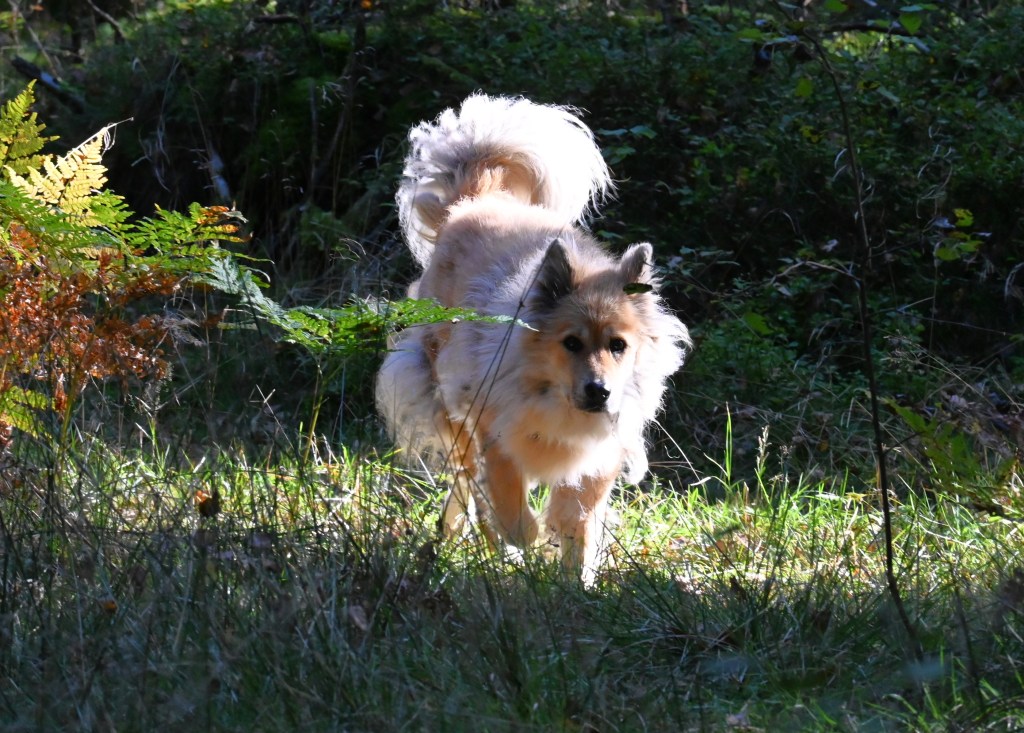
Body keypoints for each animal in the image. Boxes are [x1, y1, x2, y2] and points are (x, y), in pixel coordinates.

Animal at [376, 94, 690, 584]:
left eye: (618, 346)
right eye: (571, 343)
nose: (599, 391)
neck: (551, 393)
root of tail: (475, 200)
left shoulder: (602, 452)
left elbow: (579, 519)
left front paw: (576, 581)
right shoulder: (490, 427)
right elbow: (507, 501)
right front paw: (524, 540)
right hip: (441, 398)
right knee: (468, 481)